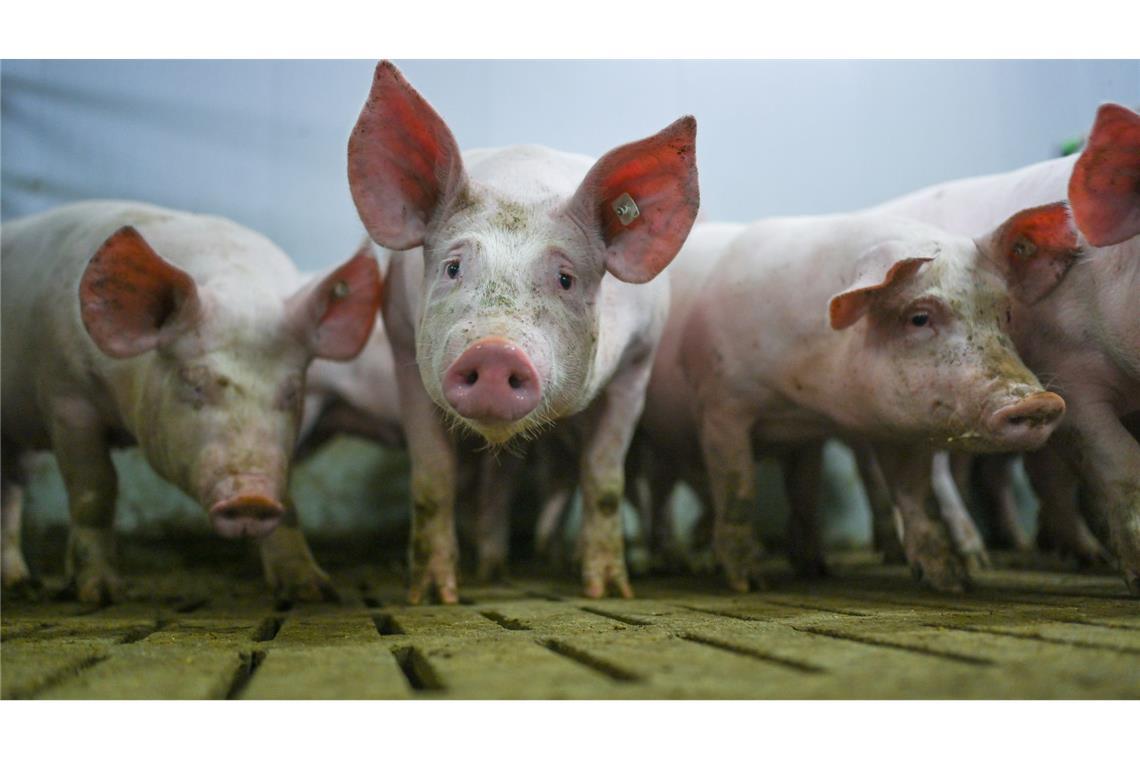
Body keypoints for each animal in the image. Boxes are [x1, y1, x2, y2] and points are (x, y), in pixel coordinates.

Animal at [0, 201, 381, 603]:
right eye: (193, 382)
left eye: (293, 391)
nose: (252, 499)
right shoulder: (65, 396)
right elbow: (94, 491)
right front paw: (102, 594)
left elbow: (288, 500)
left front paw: (312, 590)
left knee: (10, 488)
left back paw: (18, 582)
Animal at [346, 61, 699, 602]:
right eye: (453, 267)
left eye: (565, 278)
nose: (495, 351)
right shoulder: (403, 338)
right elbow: (432, 478)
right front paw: (433, 596)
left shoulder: (638, 361)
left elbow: (604, 480)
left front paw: (608, 590)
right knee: (500, 480)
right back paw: (491, 572)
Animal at [647, 206, 1072, 592]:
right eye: (919, 317)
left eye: (1006, 314)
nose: (1038, 402)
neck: (807, 398)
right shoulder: (720, 405)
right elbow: (738, 488)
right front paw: (750, 583)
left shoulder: (835, 433)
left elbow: (902, 496)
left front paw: (950, 581)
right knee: (661, 495)